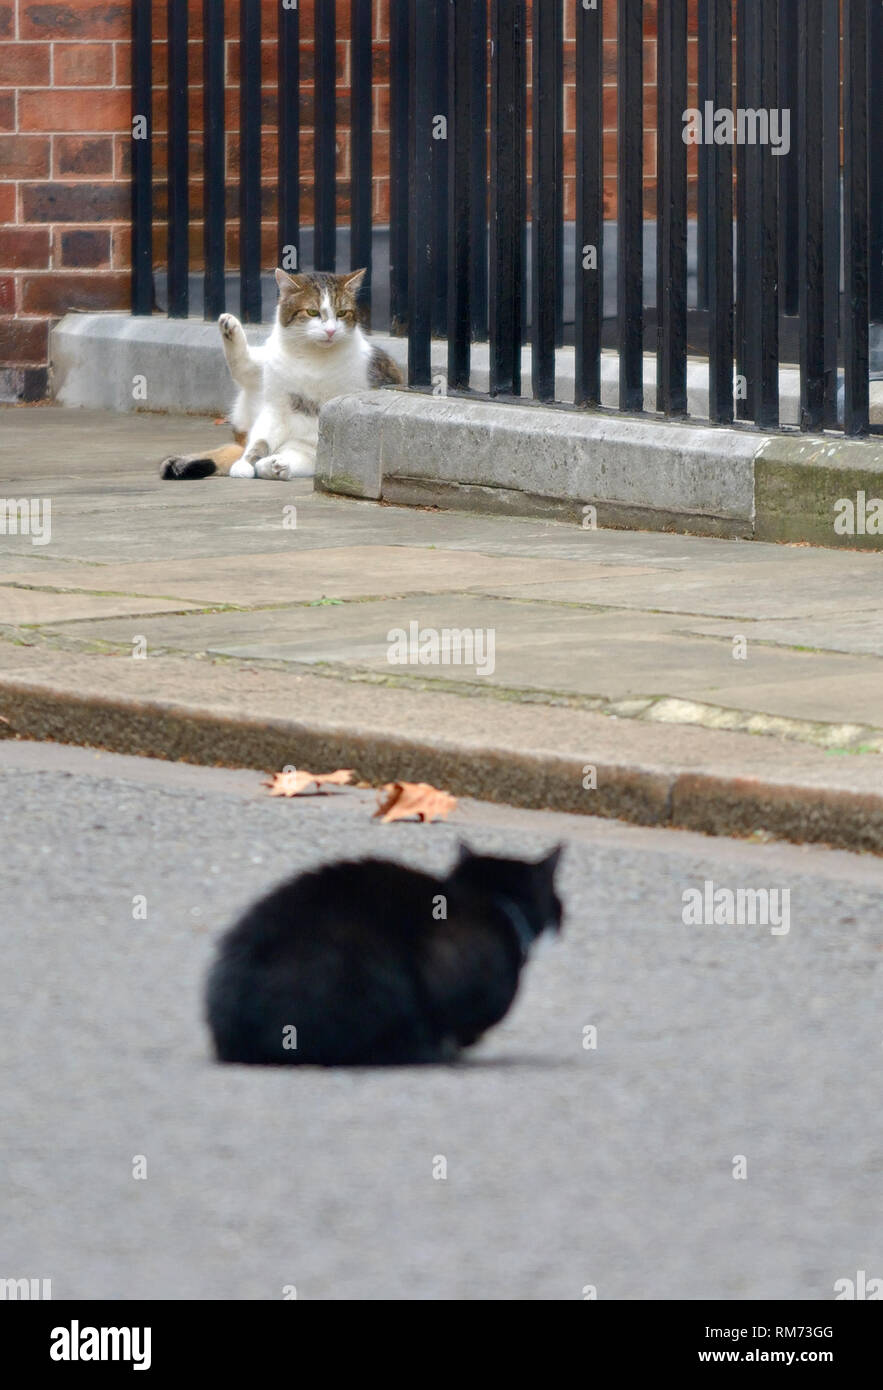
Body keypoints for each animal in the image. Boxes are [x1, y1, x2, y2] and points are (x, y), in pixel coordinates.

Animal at [160, 269, 403, 483]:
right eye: (312, 312)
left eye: (342, 313)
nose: (331, 331)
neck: (311, 357)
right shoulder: (275, 407)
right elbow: (258, 443)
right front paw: (244, 465)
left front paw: (266, 465)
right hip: (263, 371)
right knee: (246, 370)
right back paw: (230, 328)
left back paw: (274, 465)